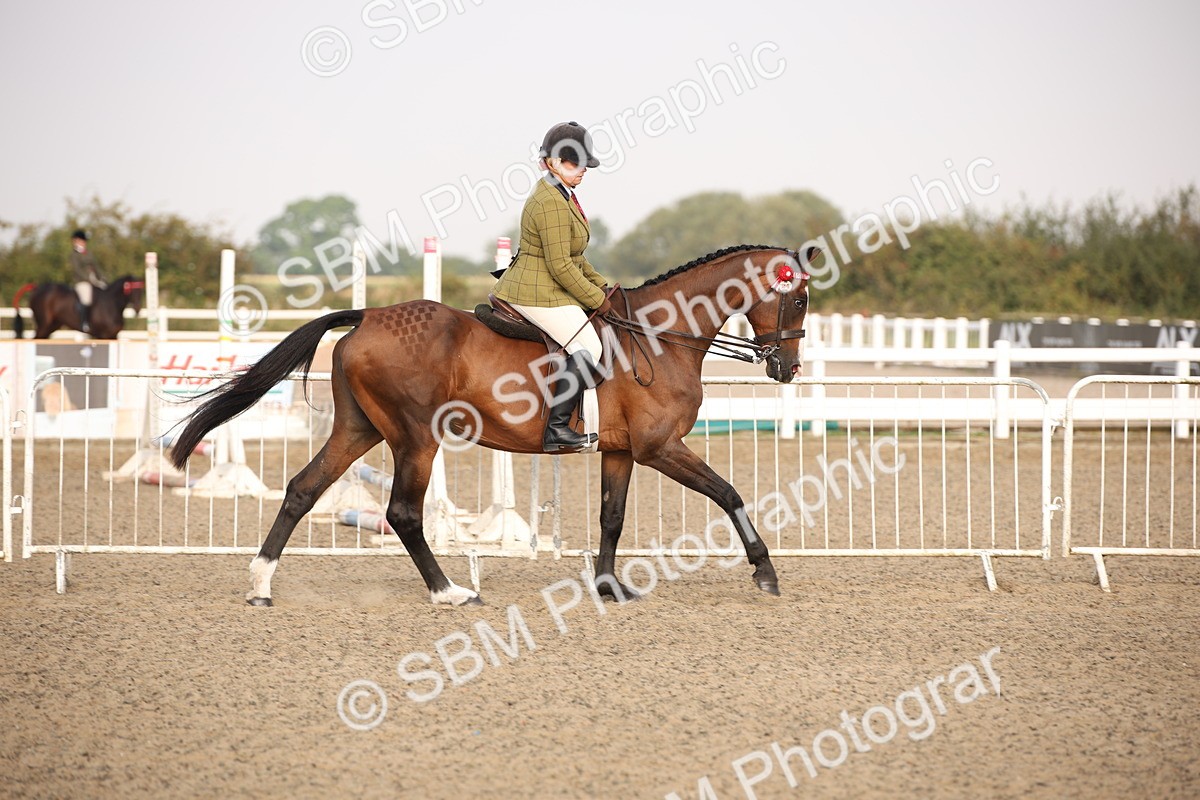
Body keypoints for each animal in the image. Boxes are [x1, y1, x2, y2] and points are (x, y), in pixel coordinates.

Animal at [12, 276, 145, 339]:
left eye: (141, 291)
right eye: (132, 290)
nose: (138, 309)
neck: (112, 305)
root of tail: (37, 288)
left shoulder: (113, 335)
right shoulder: (102, 335)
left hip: (52, 325)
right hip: (43, 324)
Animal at [170, 244, 815, 607]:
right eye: (801, 299)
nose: (787, 368)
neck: (659, 336)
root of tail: (368, 316)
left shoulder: (622, 451)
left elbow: (611, 517)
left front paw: (609, 588)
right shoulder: (661, 447)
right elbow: (729, 494)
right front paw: (765, 573)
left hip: (359, 431)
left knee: (303, 489)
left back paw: (260, 586)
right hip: (416, 439)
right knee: (402, 513)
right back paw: (450, 592)